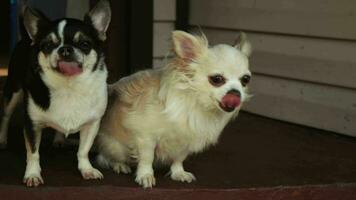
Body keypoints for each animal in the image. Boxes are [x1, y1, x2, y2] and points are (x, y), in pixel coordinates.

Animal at [96, 30, 252, 188]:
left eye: (245, 80)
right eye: (217, 79)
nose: (235, 93)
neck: (196, 103)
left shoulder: (185, 139)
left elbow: (179, 158)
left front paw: (178, 173)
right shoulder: (146, 136)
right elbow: (147, 157)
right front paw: (145, 175)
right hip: (117, 147)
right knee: (105, 157)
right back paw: (119, 165)